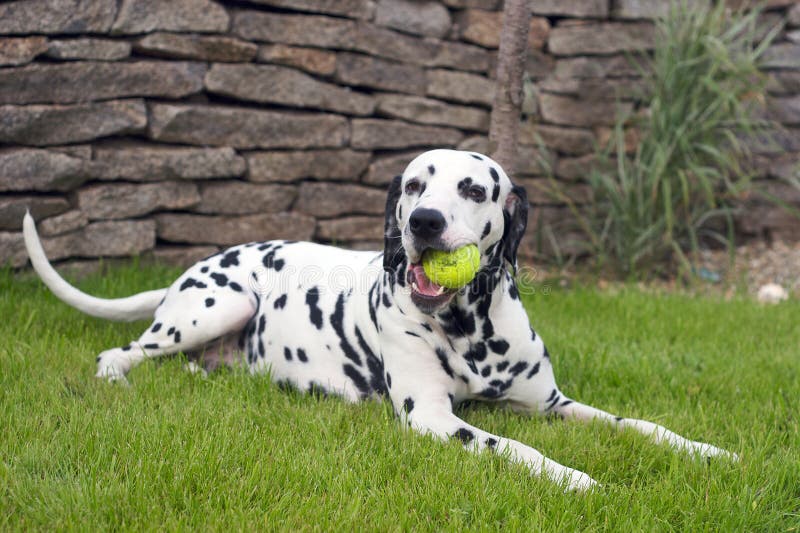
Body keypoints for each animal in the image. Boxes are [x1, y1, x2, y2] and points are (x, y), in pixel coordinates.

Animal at [20, 150, 736, 490]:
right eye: (415, 184)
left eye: (474, 189)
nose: (424, 222)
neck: (469, 326)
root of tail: (195, 266)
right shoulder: (435, 420)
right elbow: (516, 448)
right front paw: (576, 479)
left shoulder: (554, 403)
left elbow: (639, 425)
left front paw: (709, 451)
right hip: (217, 303)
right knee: (120, 352)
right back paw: (122, 377)